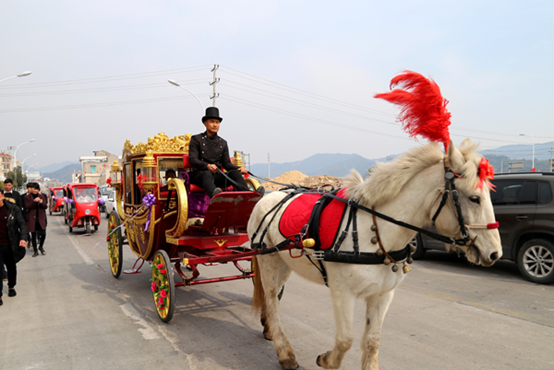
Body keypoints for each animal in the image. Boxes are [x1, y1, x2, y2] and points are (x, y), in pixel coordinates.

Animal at [248, 139, 498, 370]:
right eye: (474, 198)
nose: (495, 253)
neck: (376, 232)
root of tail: (266, 196)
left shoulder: (383, 294)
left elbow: (372, 341)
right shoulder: (342, 293)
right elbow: (345, 340)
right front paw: (327, 359)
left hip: (283, 263)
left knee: (274, 296)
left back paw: (269, 330)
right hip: (267, 258)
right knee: (271, 298)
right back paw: (285, 352)